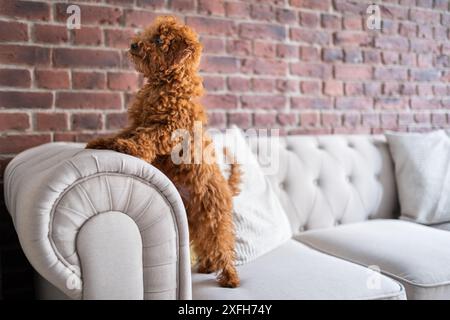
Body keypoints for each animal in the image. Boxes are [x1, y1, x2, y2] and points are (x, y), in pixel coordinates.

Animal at [88, 15, 243, 288]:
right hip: (195, 221)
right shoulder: (136, 123)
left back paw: (230, 278)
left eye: (160, 40)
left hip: (214, 218)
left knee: (222, 246)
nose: (134, 44)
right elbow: (124, 133)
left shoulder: (166, 128)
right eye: (149, 35)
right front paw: (104, 142)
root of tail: (226, 187)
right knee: (205, 245)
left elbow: (145, 140)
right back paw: (206, 266)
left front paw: (129, 148)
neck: (166, 83)